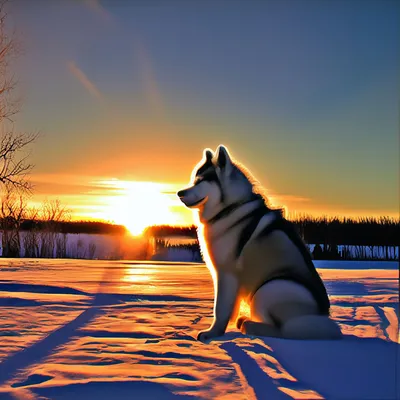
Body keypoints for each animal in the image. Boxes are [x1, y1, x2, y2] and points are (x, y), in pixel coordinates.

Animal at [177, 145, 342, 342]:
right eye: (193, 180)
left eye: (200, 181)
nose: (179, 193)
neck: (229, 208)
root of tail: (320, 314)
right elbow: (229, 308)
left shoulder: (226, 273)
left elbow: (220, 309)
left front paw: (213, 334)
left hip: (268, 289)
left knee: (282, 330)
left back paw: (250, 325)